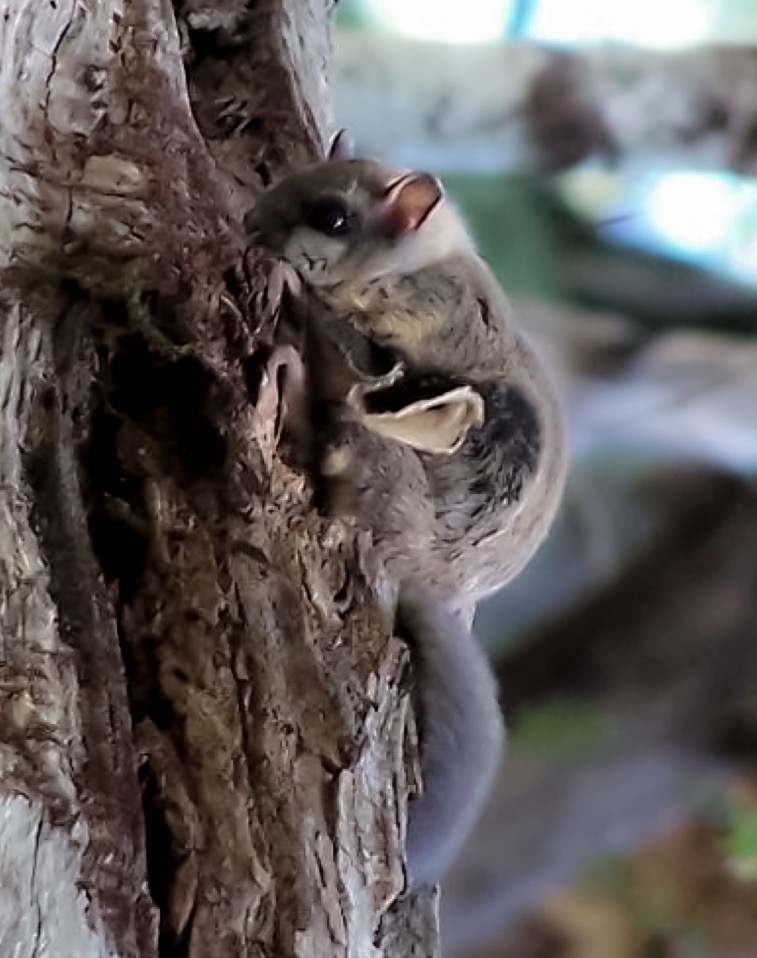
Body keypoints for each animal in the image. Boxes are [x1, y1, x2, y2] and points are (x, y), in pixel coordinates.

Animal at [244, 140, 567, 888]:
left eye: (331, 216)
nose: (251, 221)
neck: (417, 261)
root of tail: (423, 579)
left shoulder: (405, 327)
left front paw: (288, 283)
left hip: (376, 452)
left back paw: (288, 371)